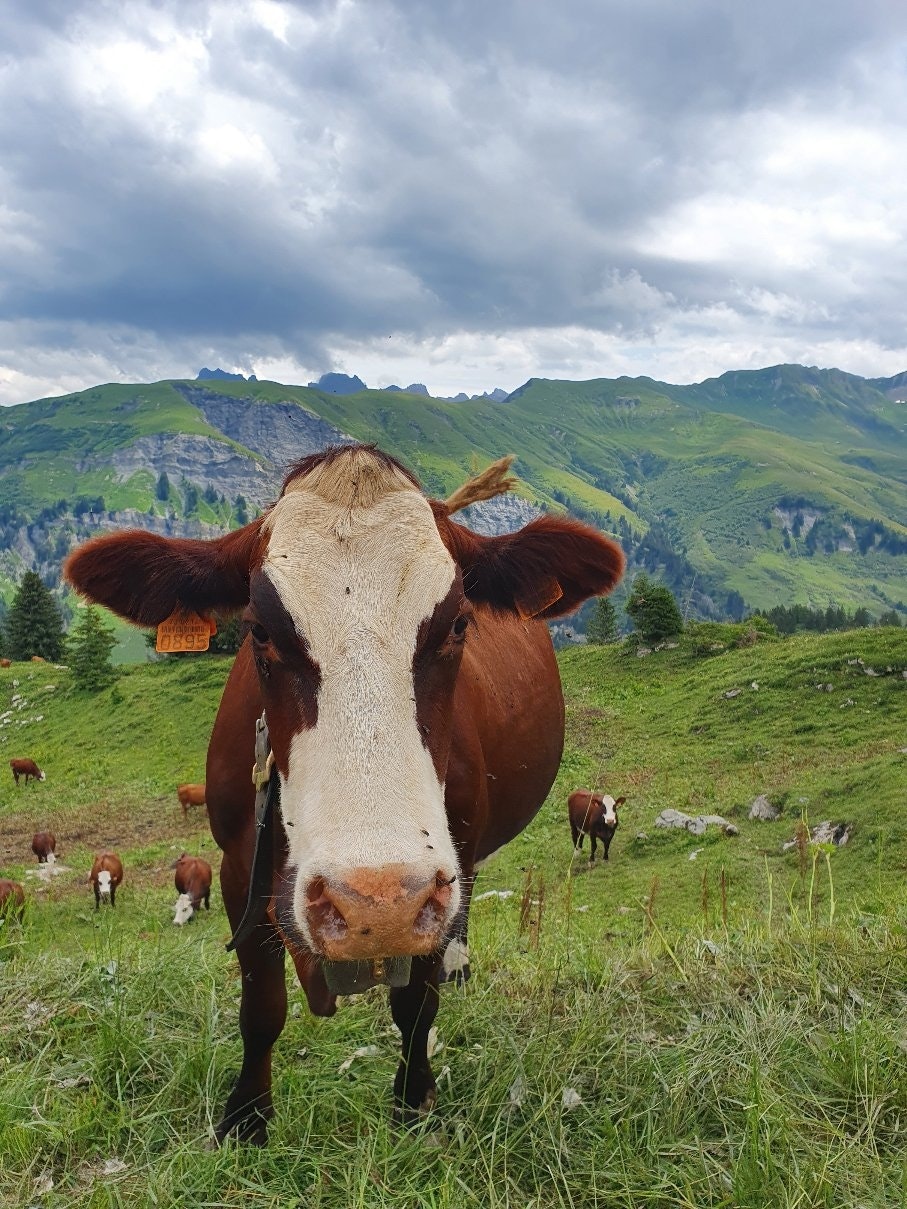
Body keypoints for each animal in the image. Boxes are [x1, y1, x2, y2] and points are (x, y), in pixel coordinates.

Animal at [67, 444, 628, 1141]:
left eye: (458, 624)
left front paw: (412, 1101)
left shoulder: (443, 876)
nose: (376, 904)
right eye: (258, 630)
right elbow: (261, 1005)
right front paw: (246, 1118)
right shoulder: (236, 864)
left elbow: (415, 1003)